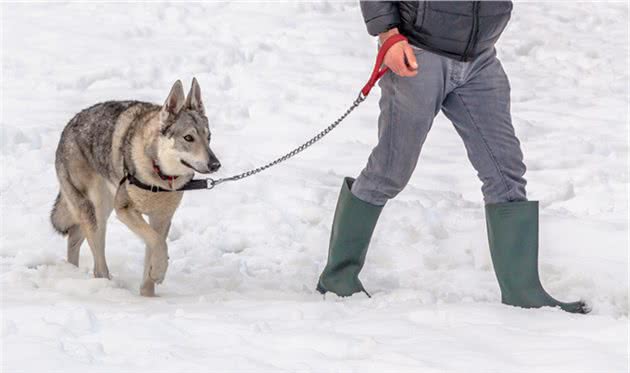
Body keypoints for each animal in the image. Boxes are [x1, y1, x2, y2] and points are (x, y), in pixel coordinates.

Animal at [50, 77, 221, 294]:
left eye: (209, 138)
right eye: (188, 138)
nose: (215, 164)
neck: (160, 177)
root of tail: (67, 127)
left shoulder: (161, 218)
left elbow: (153, 250)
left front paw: (148, 295)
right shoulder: (124, 209)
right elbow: (158, 243)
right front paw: (159, 272)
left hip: (102, 209)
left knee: (74, 237)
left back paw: (73, 272)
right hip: (97, 210)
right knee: (98, 264)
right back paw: (107, 286)